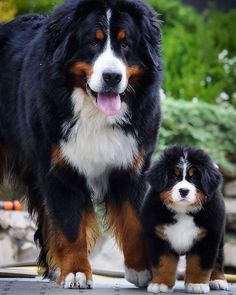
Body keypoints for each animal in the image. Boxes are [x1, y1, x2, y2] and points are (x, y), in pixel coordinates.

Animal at [0, 0, 161, 290]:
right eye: (93, 42)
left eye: (126, 44)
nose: (112, 76)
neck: (94, 113)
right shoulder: (61, 170)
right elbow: (71, 226)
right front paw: (75, 271)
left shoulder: (131, 166)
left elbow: (134, 220)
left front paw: (142, 269)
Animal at [142, 147, 229, 294]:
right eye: (174, 176)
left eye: (194, 177)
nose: (184, 190)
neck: (183, 211)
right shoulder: (158, 236)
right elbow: (163, 263)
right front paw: (160, 284)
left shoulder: (208, 237)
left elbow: (200, 264)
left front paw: (197, 284)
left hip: (220, 237)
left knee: (218, 259)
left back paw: (218, 280)